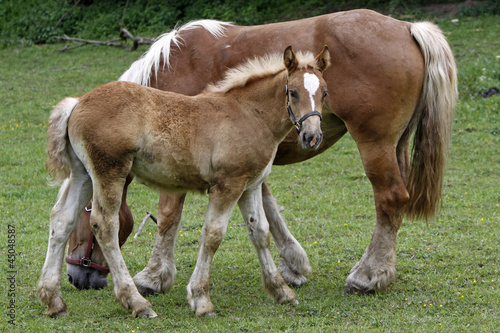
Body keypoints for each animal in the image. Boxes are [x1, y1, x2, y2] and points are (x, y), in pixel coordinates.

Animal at [39, 44, 332, 316]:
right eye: (293, 92)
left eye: (325, 93)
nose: (312, 136)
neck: (249, 114)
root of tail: (78, 101)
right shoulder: (228, 185)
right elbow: (213, 234)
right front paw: (201, 300)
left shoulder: (250, 185)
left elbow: (259, 232)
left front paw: (281, 290)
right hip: (109, 171)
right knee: (104, 225)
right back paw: (137, 302)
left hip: (83, 174)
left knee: (62, 219)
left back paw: (53, 301)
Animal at [64, 9, 456, 296]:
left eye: (84, 220)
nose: (73, 276)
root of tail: (408, 27)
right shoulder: (246, 155)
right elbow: (266, 207)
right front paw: (293, 265)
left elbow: (169, 215)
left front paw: (154, 275)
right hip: (395, 146)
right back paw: (384, 270)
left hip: (375, 145)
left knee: (389, 199)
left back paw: (367, 276)